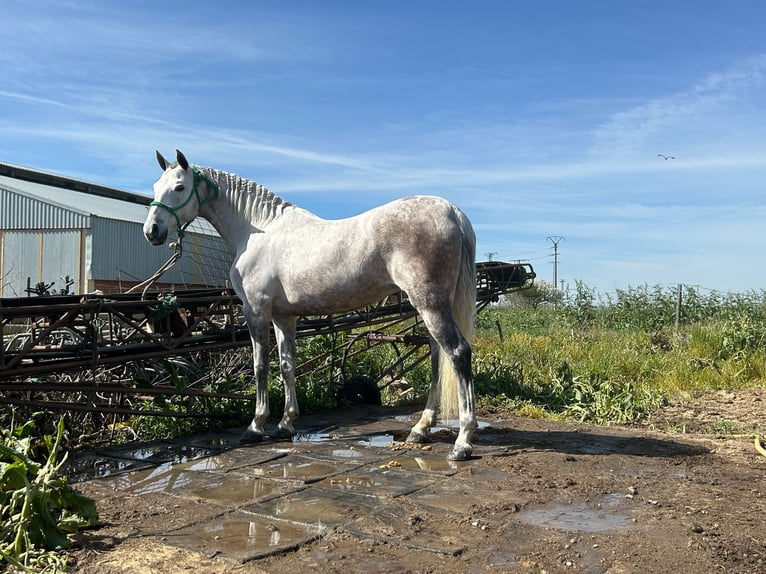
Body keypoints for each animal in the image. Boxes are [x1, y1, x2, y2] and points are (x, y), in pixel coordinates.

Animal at [142, 151, 480, 462]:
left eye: (180, 187)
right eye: (156, 186)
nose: (152, 231)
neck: (259, 230)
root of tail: (452, 212)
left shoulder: (256, 310)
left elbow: (260, 366)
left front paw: (255, 427)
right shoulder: (283, 317)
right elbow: (287, 365)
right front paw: (286, 424)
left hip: (429, 304)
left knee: (458, 353)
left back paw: (463, 441)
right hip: (432, 306)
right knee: (438, 358)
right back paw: (420, 428)